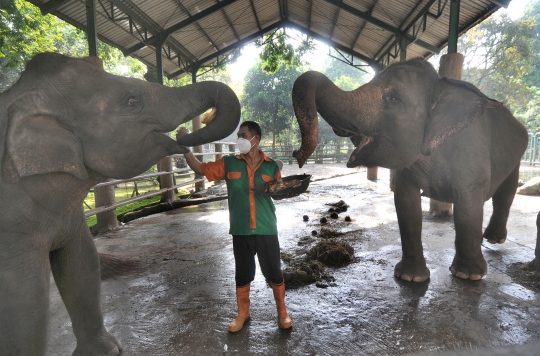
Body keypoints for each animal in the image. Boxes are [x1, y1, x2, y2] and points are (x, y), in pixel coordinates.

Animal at [0, 52, 240, 356]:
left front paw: (108, 351)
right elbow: (26, 302)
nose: (183, 134)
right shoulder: (11, 228)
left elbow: (83, 264)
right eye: (132, 101)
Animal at [292, 58, 528, 284]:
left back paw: (493, 239)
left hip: (516, 158)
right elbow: (406, 205)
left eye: (394, 99)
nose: (297, 156)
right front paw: (410, 278)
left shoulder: (471, 157)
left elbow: (467, 208)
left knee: (506, 193)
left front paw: (468, 276)